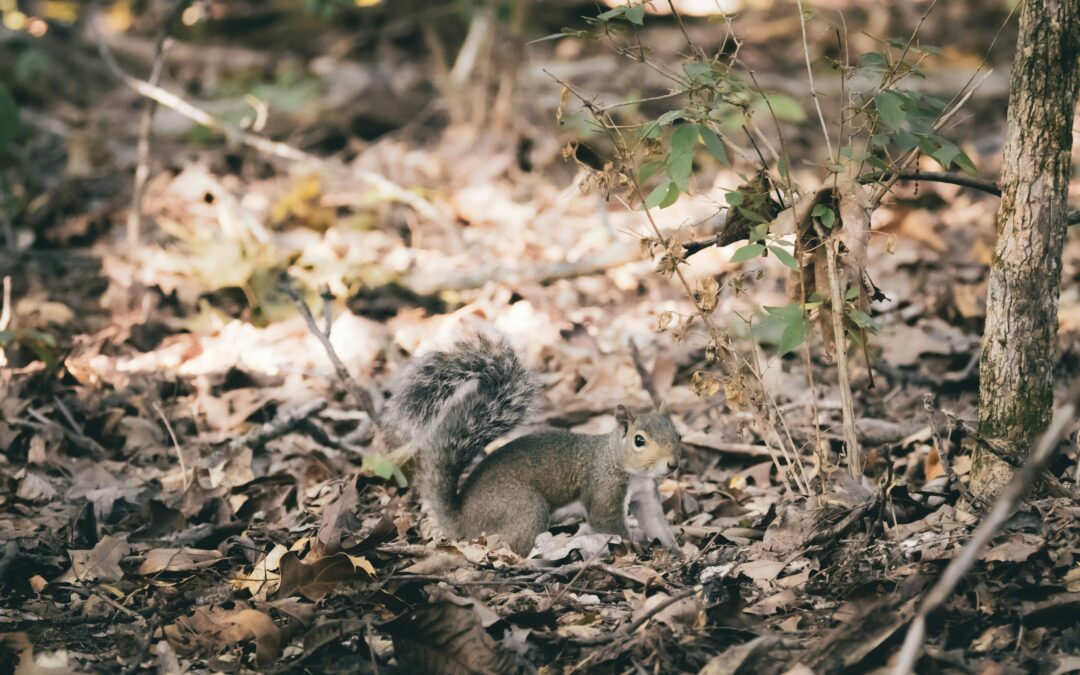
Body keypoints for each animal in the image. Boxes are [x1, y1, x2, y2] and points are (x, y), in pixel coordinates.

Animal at [381, 336, 682, 555]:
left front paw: (676, 549)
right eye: (639, 441)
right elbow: (610, 524)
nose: (672, 464)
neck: (623, 464)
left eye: (677, 434)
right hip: (525, 508)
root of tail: (463, 519)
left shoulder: (645, 495)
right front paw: (638, 544)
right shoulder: (603, 489)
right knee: (517, 547)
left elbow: (656, 523)